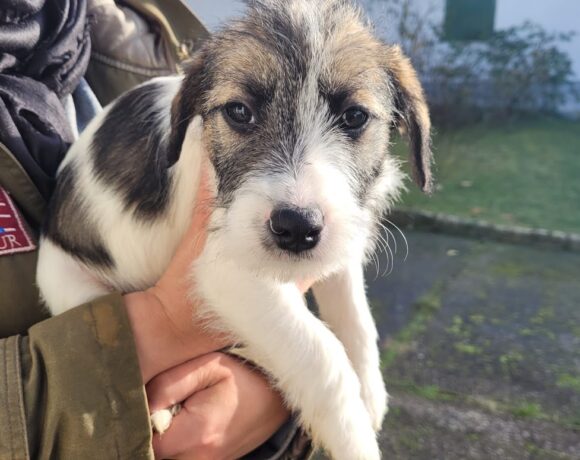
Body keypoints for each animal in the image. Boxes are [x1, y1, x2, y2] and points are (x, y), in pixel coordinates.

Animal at [36, 0, 433, 458]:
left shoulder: (341, 237)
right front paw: (355, 439)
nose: (297, 228)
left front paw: (370, 393)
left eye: (354, 117)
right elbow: (322, 355)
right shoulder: (228, 273)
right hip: (76, 290)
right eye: (240, 112)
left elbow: (355, 315)